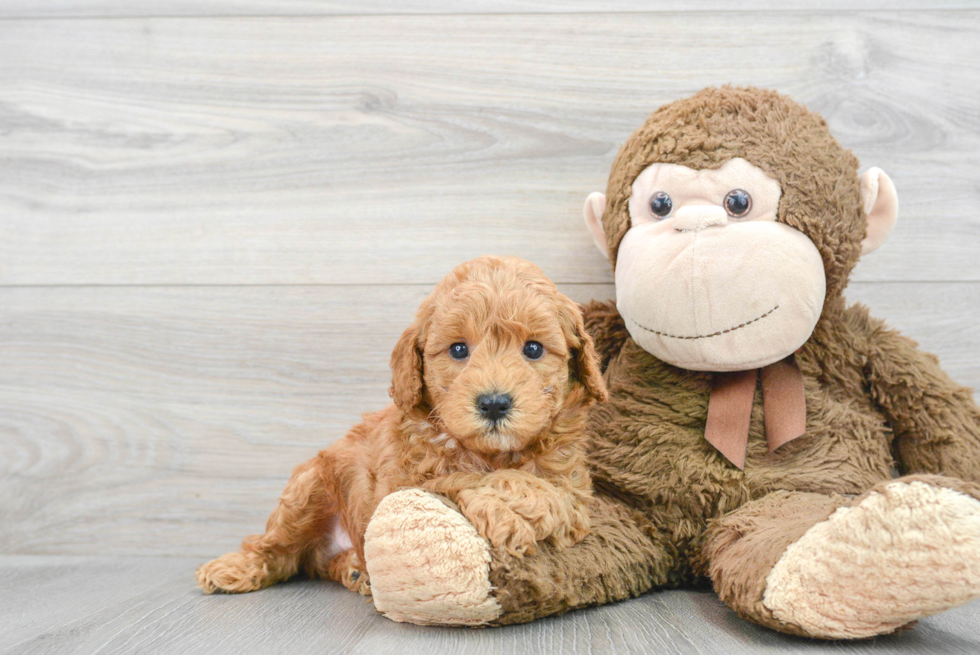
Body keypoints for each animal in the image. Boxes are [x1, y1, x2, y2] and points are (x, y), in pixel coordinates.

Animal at [196, 256, 608, 596]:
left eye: (534, 349)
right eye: (459, 349)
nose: (493, 403)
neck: (491, 454)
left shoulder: (573, 490)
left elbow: (549, 491)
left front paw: (520, 504)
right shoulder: (402, 484)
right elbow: (459, 477)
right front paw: (508, 511)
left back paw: (355, 571)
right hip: (307, 489)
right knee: (278, 549)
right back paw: (233, 568)